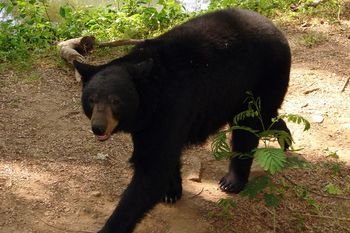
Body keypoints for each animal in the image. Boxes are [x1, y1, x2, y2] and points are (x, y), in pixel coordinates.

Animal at [75, 7, 292, 233]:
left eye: (116, 101)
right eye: (91, 99)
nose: (98, 127)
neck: (150, 97)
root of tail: (276, 28)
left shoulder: (171, 105)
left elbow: (153, 168)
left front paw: (112, 225)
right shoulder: (147, 121)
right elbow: (163, 155)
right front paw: (171, 192)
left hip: (263, 75)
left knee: (249, 126)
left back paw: (233, 181)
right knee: (260, 117)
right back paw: (284, 136)